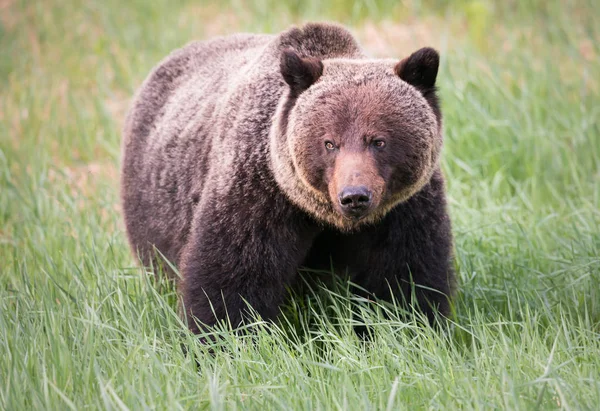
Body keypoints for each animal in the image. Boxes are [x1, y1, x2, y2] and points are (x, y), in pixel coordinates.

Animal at [124, 21, 458, 334]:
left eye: (378, 141)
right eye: (329, 142)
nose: (354, 196)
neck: (326, 217)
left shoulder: (402, 209)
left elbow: (405, 277)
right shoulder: (259, 193)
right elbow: (232, 275)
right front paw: (222, 338)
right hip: (154, 213)